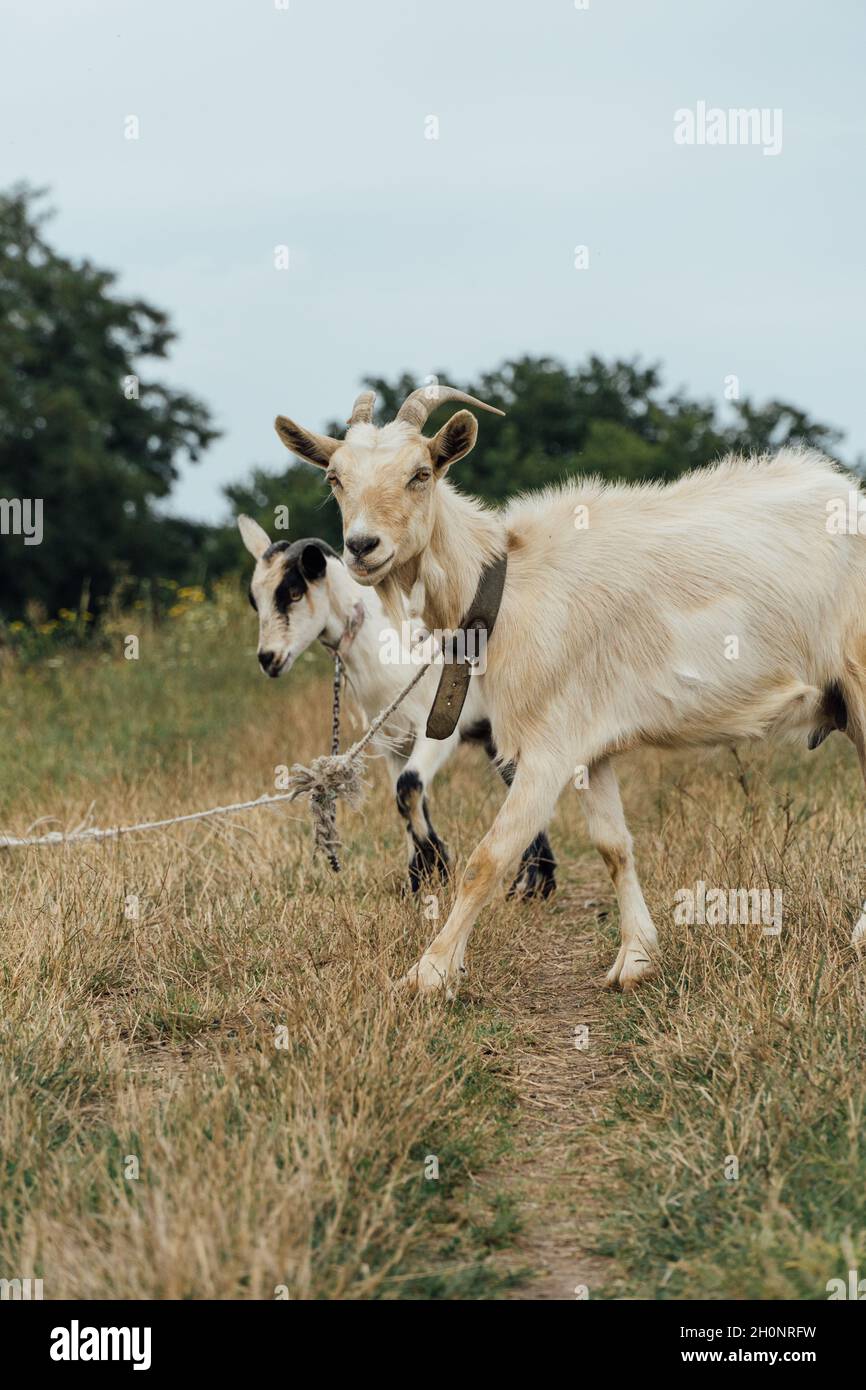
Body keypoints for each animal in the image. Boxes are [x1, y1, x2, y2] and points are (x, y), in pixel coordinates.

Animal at [238, 514, 556, 898]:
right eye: (256, 601)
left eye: (294, 593)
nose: (268, 659)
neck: (384, 640)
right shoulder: (394, 742)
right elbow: (403, 797)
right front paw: (419, 877)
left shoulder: (436, 732)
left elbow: (409, 787)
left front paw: (437, 863)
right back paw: (535, 884)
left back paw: (530, 883)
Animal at [273, 384, 866, 995]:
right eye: (335, 478)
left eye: (421, 473)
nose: (362, 546)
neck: (505, 585)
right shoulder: (588, 745)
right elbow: (613, 846)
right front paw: (636, 959)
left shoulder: (547, 749)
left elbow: (488, 858)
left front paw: (428, 973)